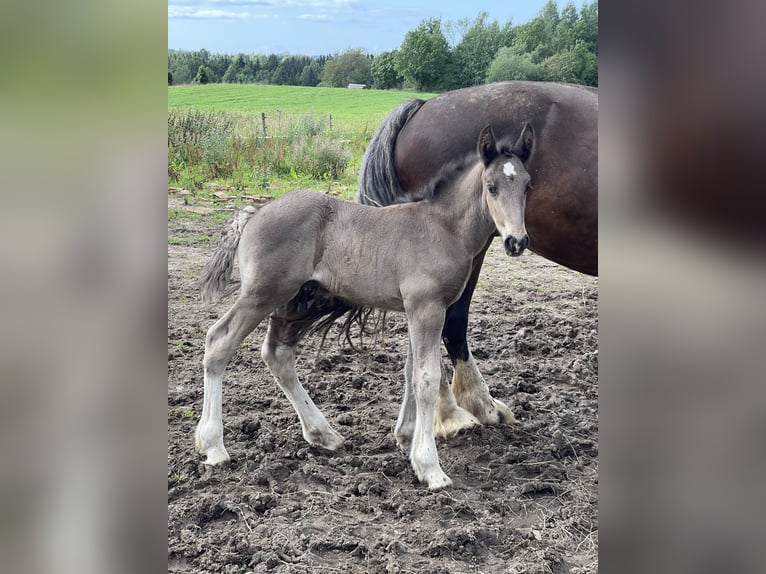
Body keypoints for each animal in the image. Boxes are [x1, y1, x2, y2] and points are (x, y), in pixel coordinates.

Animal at [196, 124, 536, 492]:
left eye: (527, 185)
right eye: (491, 187)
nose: (516, 242)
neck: (443, 228)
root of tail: (255, 212)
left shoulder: (420, 309)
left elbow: (411, 372)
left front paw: (406, 437)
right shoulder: (427, 307)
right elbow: (427, 377)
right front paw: (429, 467)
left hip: (291, 297)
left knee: (277, 355)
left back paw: (324, 434)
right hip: (263, 293)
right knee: (219, 341)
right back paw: (213, 446)